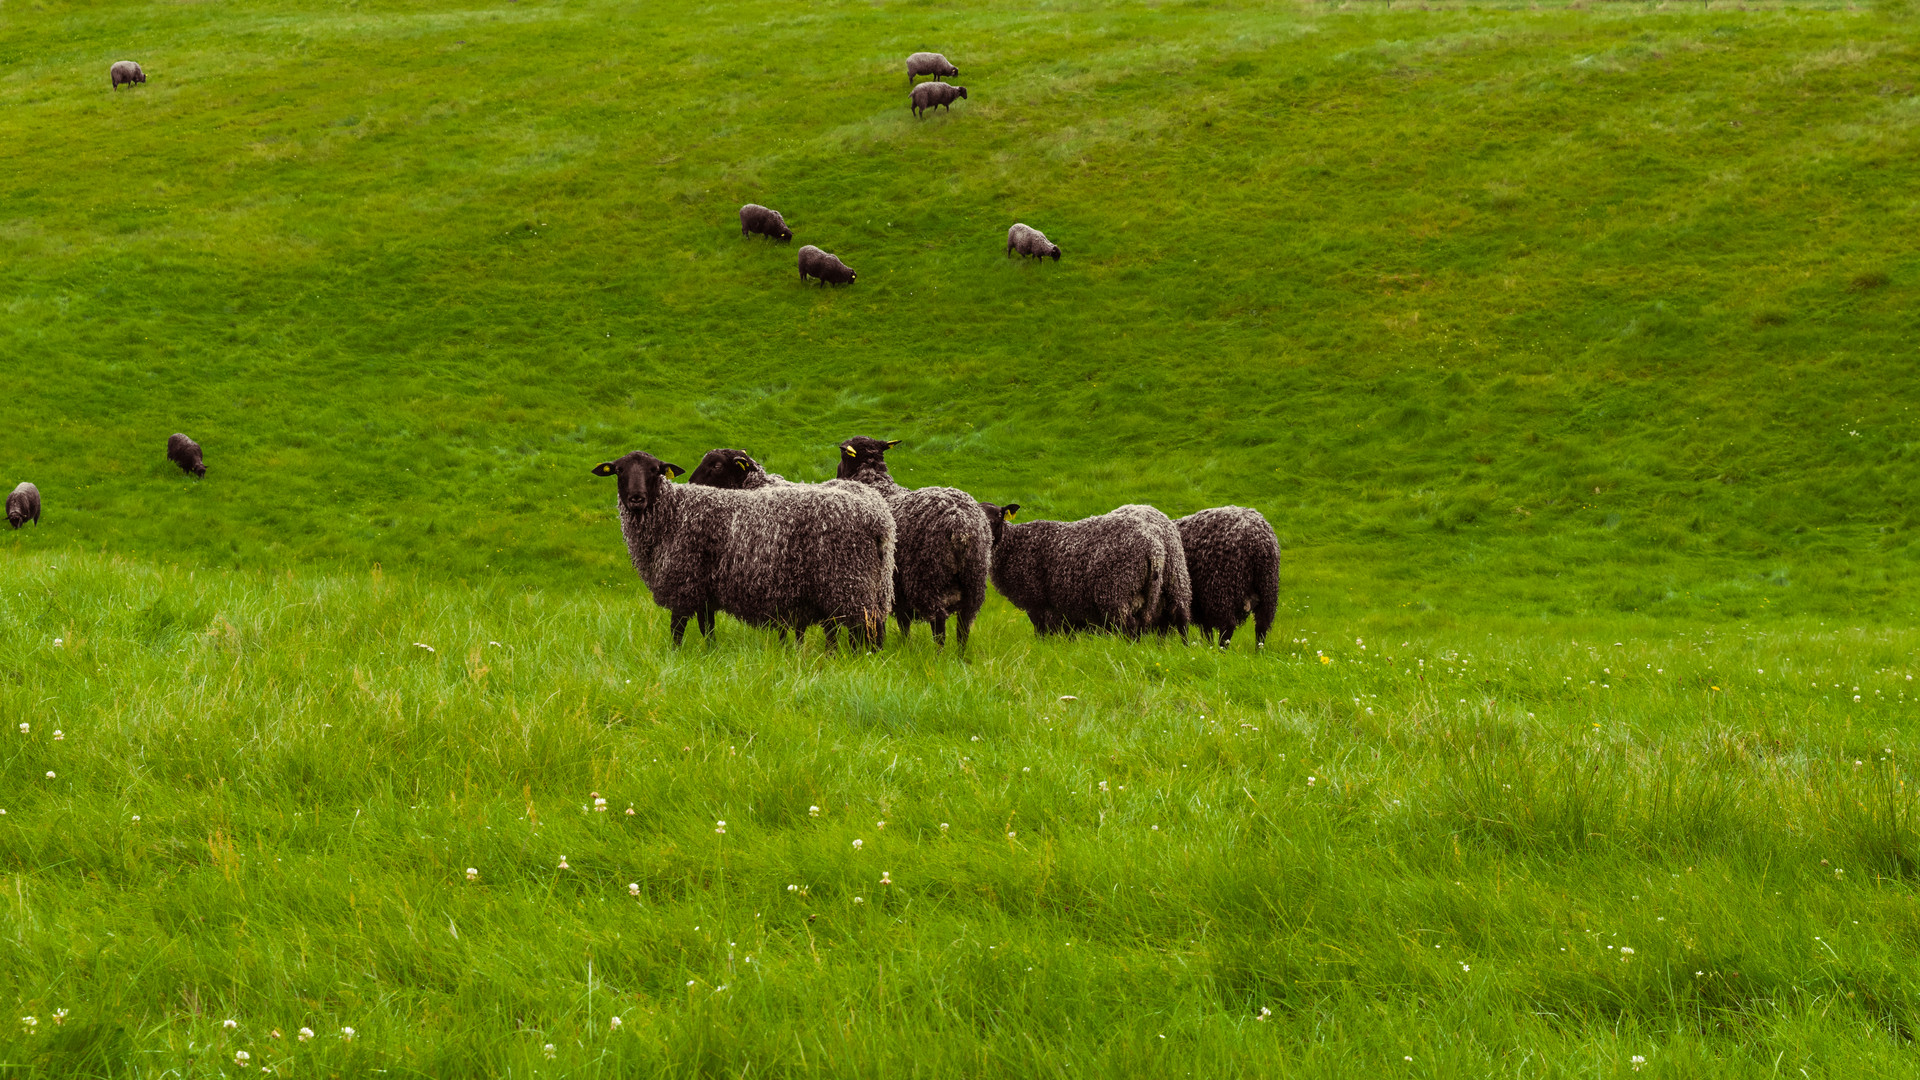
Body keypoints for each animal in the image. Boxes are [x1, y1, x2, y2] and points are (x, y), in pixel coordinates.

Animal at [591, 447, 890, 645]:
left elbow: (677, 629)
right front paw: (709, 653)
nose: (636, 498)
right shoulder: (705, 589)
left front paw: (674, 657)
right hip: (872, 586)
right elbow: (707, 627)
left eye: (655, 471)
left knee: (863, 629)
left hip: (848, 582)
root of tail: (878, 518)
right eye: (619, 470)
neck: (673, 512)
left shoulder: (684, 582)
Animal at [833, 434, 998, 645]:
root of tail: (961, 523)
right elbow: (902, 622)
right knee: (964, 626)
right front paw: (905, 646)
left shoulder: (892, 586)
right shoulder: (898, 590)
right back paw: (960, 653)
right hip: (974, 581)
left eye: (842, 455)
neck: (875, 482)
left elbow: (895, 622)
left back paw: (939, 652)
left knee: (938, 624)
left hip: (927, 577)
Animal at [983, 503, 1175, 638]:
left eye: (1000, 515)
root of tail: (1153, 547)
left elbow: (1042, 632)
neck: (1014, 544)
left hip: (1117, 590)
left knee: (1129, 627)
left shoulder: (1037, 601)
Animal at [1175, 499, 1282, 641]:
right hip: (1268, 589)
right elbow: (1205, 631)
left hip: (1221, 589)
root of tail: (1257, 539)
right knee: (1262, 626)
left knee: (1227, 626)